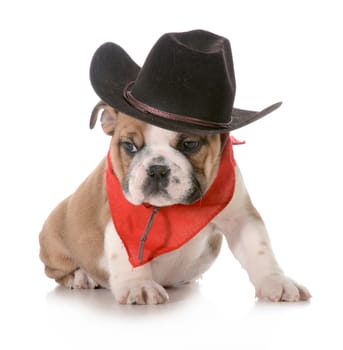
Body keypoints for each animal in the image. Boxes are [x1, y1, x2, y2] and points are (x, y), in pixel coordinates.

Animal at [38, 29, 312, 304]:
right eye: (130, 146)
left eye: (190, 144)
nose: (157, 169)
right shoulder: (122, 220)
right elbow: (128, 255)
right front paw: (139, 286)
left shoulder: (241, 217)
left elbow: (259, 249)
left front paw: (277, 281)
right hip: (54, 237)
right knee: (59, 271)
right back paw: (82, 276)